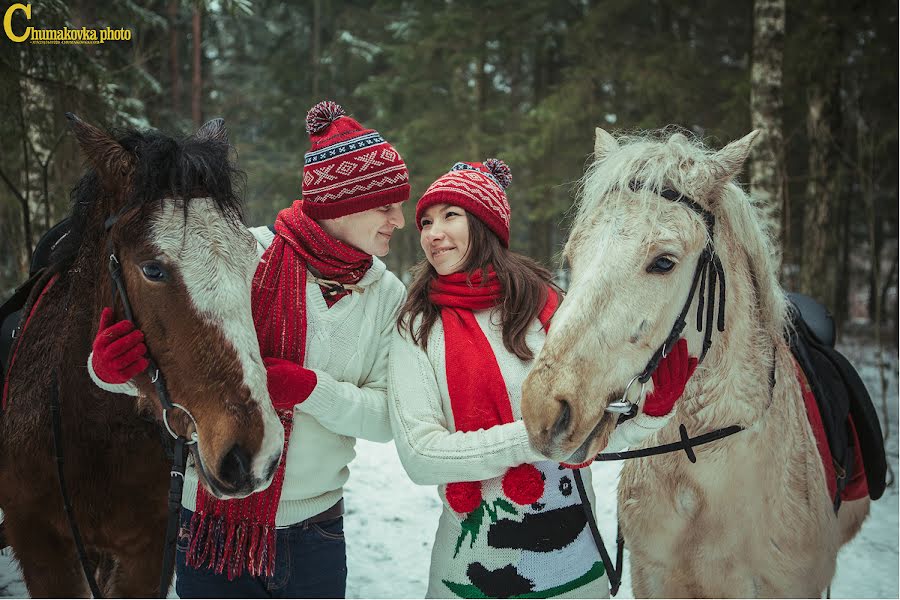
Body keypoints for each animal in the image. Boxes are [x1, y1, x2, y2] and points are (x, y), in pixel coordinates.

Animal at [0, 116, 284, 596]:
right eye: (152, 269)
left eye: (251, 262)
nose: (255, 452)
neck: (94, 430)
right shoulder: (41, 545)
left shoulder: (149, 552)